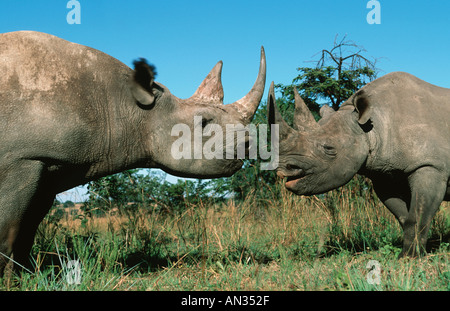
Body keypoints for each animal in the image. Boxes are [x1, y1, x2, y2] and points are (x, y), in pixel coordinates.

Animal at [0, 31, 266, 276]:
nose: (248, 143)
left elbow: (27, 227)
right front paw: (11, 281)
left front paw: (25, 276)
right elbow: (8, 228)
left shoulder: (48, 163)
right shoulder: (22, 158)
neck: (129, 107)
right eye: (203, 122)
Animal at [268, 73, 450, 258]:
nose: (283, 169)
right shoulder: (385, 174)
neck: (371, 126)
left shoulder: (430, 166)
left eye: (329, 148)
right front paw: (411, 253)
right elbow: (404, 216)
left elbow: (418, 214)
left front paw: (409, 257)